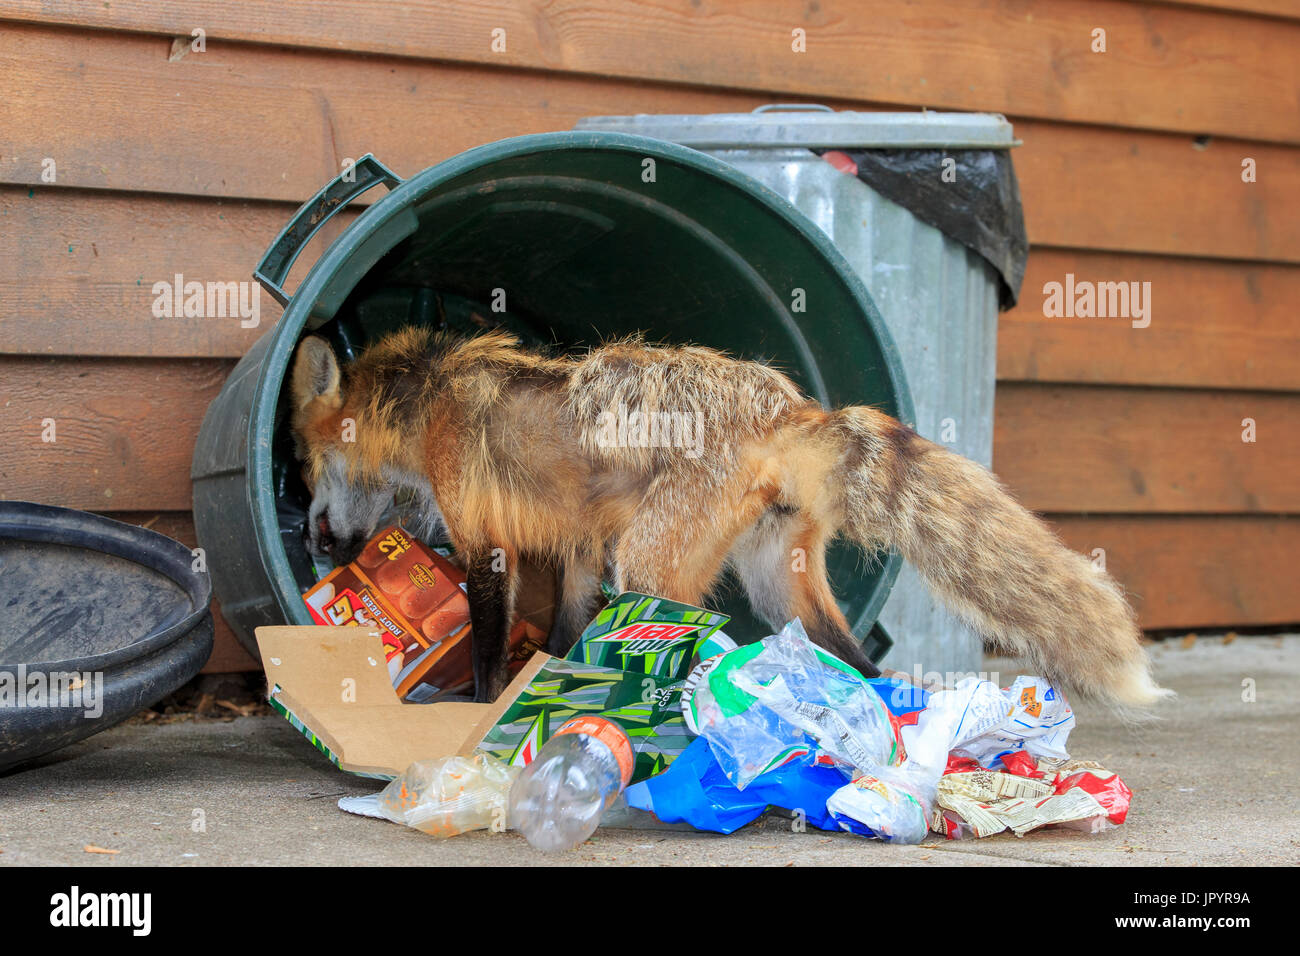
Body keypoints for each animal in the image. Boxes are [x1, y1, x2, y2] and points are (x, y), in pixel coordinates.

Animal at [287, 329, 1170, 712]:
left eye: (302, 458)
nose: (314, 537)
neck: (429, 403)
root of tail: (789, 404)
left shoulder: (487, 546)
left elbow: (488, 652)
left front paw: (479, 713)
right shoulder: (579, 551)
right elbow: (565, 638)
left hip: (651, 566)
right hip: (781, 590)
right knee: (866, 670)